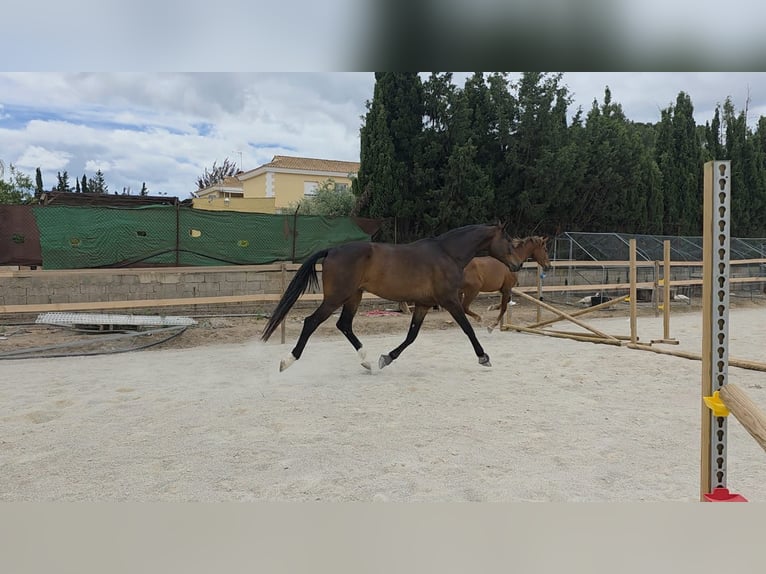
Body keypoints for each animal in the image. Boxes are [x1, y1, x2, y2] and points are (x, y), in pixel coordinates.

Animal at [260, 223, 523, 372]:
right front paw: (484, 357)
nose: (518, 265)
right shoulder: (450, 301)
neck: (447, 254)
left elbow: (411, 336)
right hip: (336, 297)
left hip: (353, 296)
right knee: (312, 322)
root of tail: (332, 250)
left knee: (344, 324)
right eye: (509, 242)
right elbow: (468, 329)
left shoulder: (424, 304)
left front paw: (386, 358)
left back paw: (366, 361)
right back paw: (287, 361)